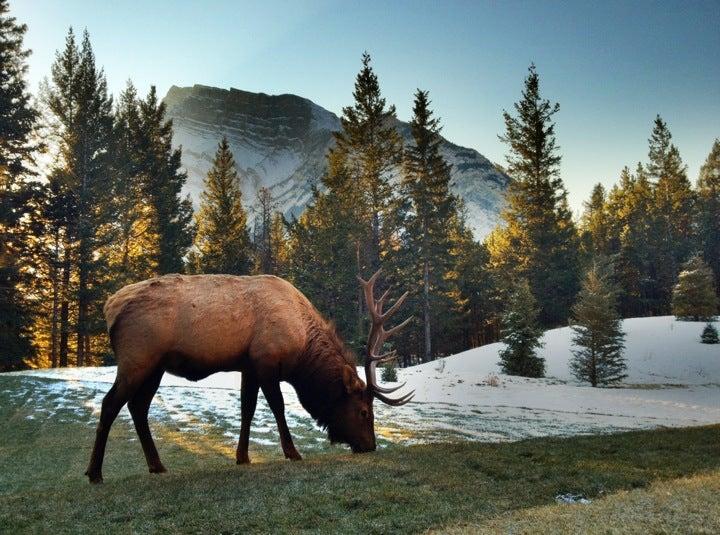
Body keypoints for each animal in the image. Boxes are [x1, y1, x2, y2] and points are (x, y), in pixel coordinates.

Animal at [86, 270, 410, 484]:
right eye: (364, 411)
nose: (370, 446)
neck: (301, 349)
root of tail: (109, 307)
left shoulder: (248, 367)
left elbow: (247, 409)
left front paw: (242, 456)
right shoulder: (266, 360)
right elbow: (277, 407)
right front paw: (292, 452)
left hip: (154, 367)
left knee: (137, 407)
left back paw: (157, 465)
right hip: (137, 358)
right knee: (110, 404)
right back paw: (95, 472)